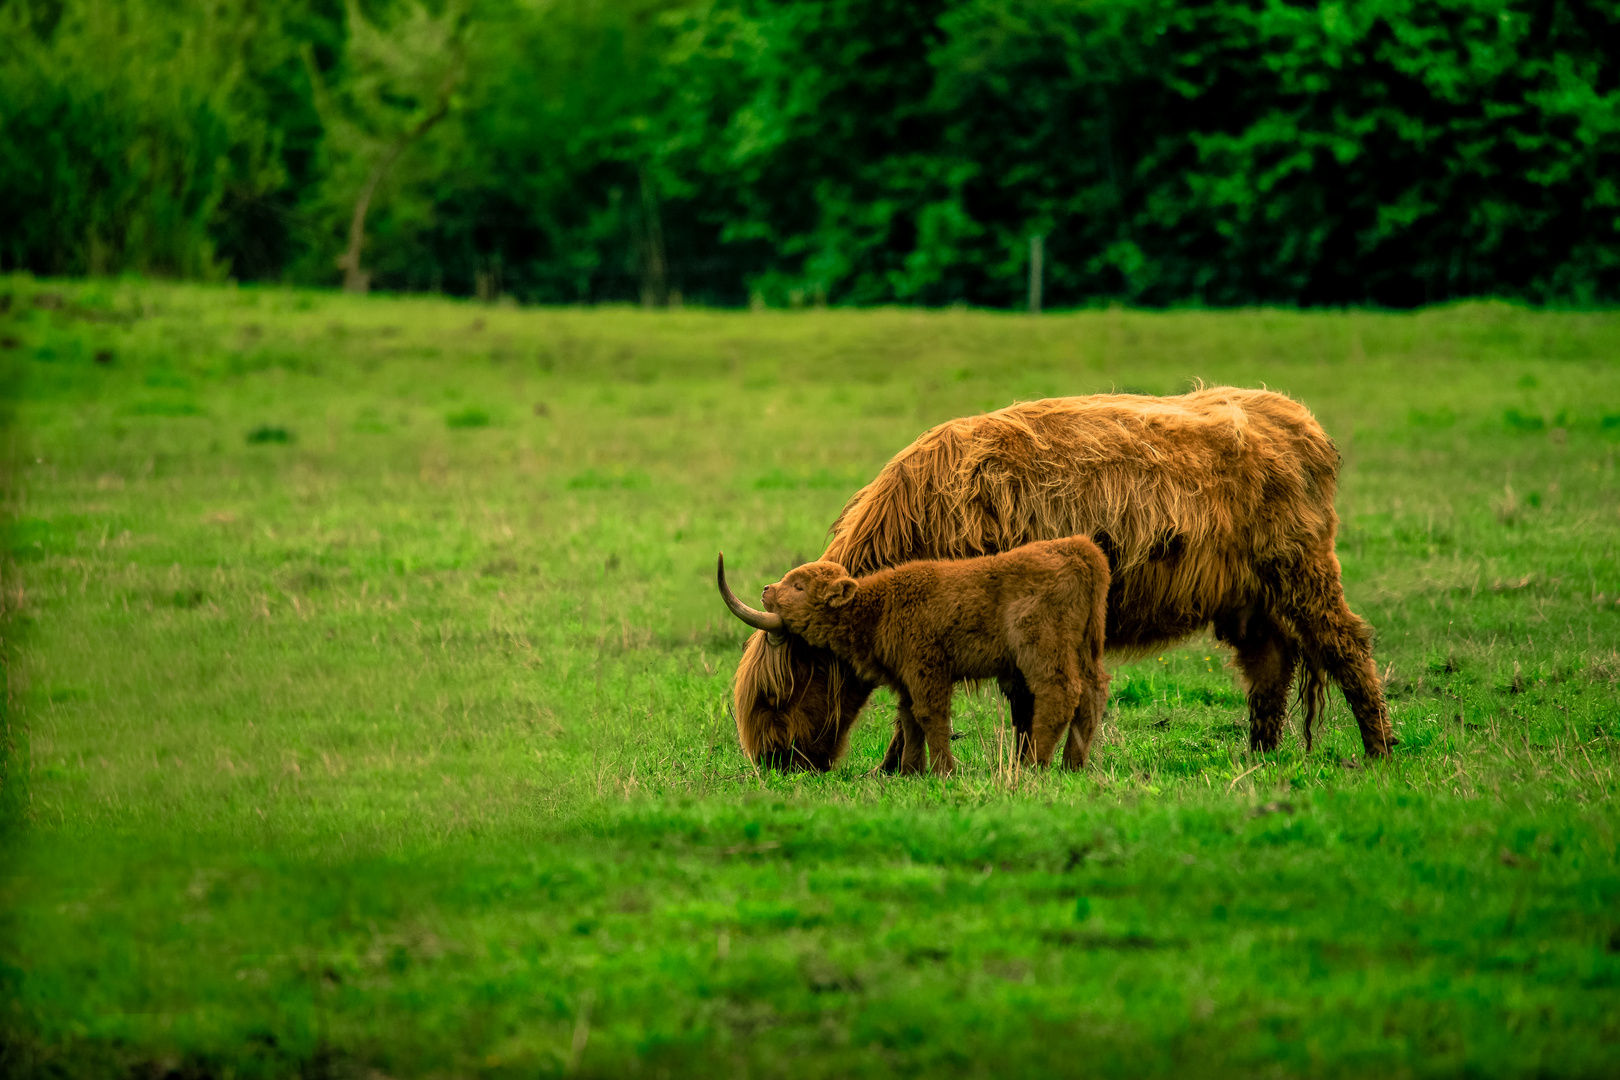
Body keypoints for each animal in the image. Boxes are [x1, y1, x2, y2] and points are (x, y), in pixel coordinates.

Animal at [716, 537, 1108, 773]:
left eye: (798, 586)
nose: (767, 590)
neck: (877, 605)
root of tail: (1078, 550)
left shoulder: (927, 670)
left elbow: (931, 716)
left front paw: (944, 769)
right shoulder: (905, 678)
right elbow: (909, 719)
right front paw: (910, 771)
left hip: (1042, 652)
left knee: (1060, 694)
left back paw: (1031, 766)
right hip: (1087, 650)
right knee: (1092, 694)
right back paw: (1072, 765)